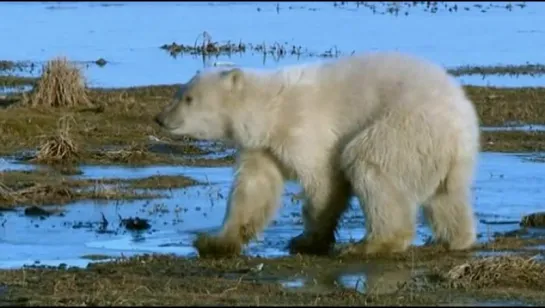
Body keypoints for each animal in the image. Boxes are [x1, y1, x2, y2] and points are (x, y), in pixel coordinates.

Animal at [154, 51, 480, 258]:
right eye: (179, 94)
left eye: (188, 98)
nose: (160, 118)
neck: (268, 109)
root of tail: (460, 127)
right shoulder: (263, 146)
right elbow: (254, 188)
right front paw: (215, 242)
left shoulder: (304, 127)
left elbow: (324, 180)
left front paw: (307, 240)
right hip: (436, 153)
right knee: (447, 197)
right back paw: (455, 239)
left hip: (404, 127)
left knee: (370, 165)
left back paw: (371, 245)